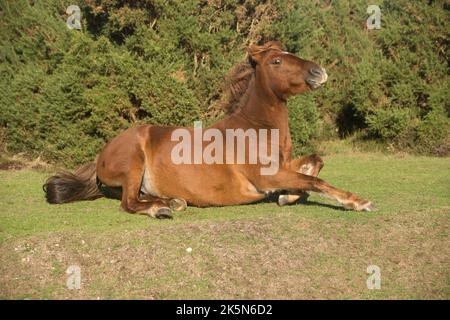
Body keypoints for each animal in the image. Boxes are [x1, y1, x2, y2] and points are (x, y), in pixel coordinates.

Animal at [43, 41, 372, 219]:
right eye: (277, 60)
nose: (319, 72)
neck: (255, 128)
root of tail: (101, 154)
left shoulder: (284, 165)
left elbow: (315, 163)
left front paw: (288, 196)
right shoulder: (267, 176)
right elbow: (316, 181)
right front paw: (357, 202)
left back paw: (172, 202)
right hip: (133, 163)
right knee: (129, 203)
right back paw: (161, 209)